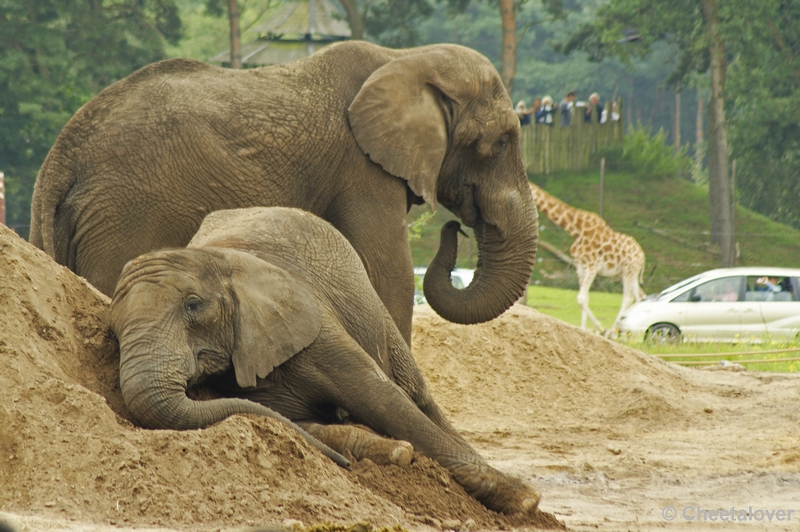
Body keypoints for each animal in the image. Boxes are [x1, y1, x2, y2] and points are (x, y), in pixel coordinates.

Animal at [29, 40, 536, 344]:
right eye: (501, 142)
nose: (455, 228)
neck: (405, 57)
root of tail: (60, 156)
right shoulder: (361, 167)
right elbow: (386, 270)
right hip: (125, 214)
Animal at [108, 207, 544, 516]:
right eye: (113, 331)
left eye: (193, 306)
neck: (216, 258)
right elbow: (295, 421)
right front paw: (395, 452)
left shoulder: (315, 323)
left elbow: (382, 399)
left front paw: (523, 500)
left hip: (375, 311)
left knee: (416, 395)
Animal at [528, 183, 648, 332]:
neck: (576, 230)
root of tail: (642, 256)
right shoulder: (581, 267)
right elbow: (584, 298)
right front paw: (583, 329)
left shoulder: (593, 266)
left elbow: (581, 298)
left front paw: (599, 327)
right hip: (631, 273)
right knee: (639, 297)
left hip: (628, 272)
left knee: (627, 298)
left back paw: (612, 331)